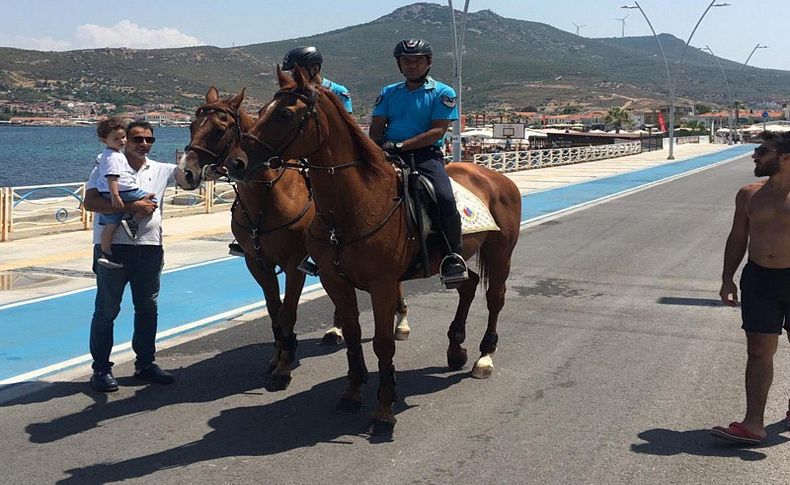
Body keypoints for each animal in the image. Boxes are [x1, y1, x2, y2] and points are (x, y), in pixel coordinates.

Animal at [177, 87, 412, 390]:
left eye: (220, 128)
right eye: (192, 126)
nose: (184, 173)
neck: (267, 197)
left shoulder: (294, 264)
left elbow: (288, 312)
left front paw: (284, 365)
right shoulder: (257, 263)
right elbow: (274, 310)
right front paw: (279, 354)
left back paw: (400, 322)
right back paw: (336, 328)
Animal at [232, 66, 524, 432]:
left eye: (285, 113)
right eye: (260, 111)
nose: (238, 163)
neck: (355, 204)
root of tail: (495, 176)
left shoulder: (382, 285)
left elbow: (384, 345)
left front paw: (384, 410)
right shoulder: (334, 280)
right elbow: (352, 334)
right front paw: (352, 392)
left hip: (501, 254)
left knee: (495, 298)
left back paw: (484, 357)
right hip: (454, 258)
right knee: (468, 284)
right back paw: (455, 348)